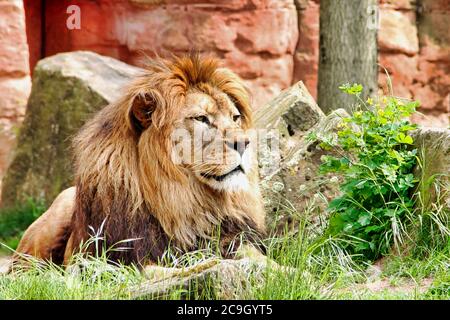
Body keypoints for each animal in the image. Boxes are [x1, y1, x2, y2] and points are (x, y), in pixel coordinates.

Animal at [14, 54, 268, 268]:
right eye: (201, 118)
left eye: (235, 117)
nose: (245, 143)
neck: (187, 203)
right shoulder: (123, 259)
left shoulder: (234, 237)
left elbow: (260, 259)